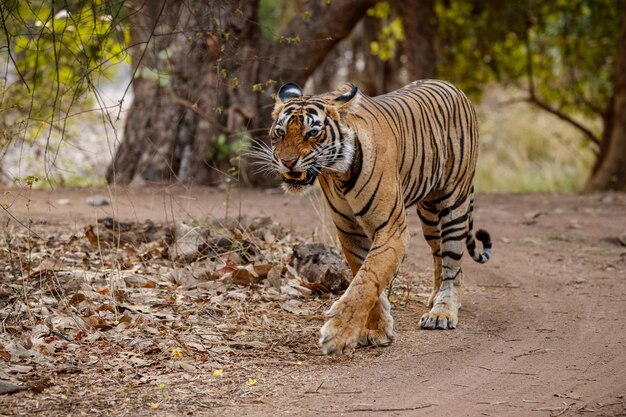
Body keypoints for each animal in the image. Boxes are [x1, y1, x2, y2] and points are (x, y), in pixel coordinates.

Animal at [252, 79, 488, 354]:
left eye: (312, 133)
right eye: (280, 132)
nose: (288, 162)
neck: (338, 174)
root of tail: (453, 86)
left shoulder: (392, 228)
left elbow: (368, 279)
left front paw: (338, 334)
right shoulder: (350, 230)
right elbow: (363, 274)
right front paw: (378, 329)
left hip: (454, 202)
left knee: (453, 259)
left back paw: (443, 311)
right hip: (429, 213)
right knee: (438, 254)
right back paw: (434, 297)